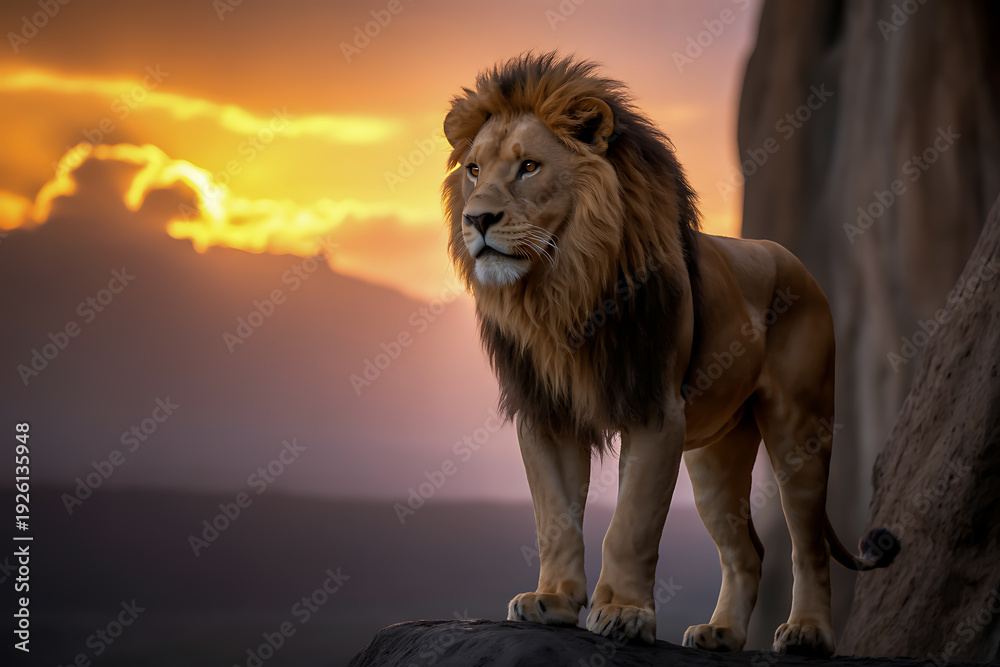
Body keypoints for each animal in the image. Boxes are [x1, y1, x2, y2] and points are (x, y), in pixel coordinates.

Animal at [441, 53, 899, 656]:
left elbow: (631, 523)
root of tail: (792, 260)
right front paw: (553, 602)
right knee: (747, 550)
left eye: (529, 167)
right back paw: (721, 633)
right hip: (714, 455)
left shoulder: (655, 408)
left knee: (808, 544)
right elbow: (554, 516)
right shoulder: (546, 414)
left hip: (800, 426)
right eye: (473, 169)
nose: (476, 220)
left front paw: (623, 614)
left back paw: (807, 633)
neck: (562, 287)